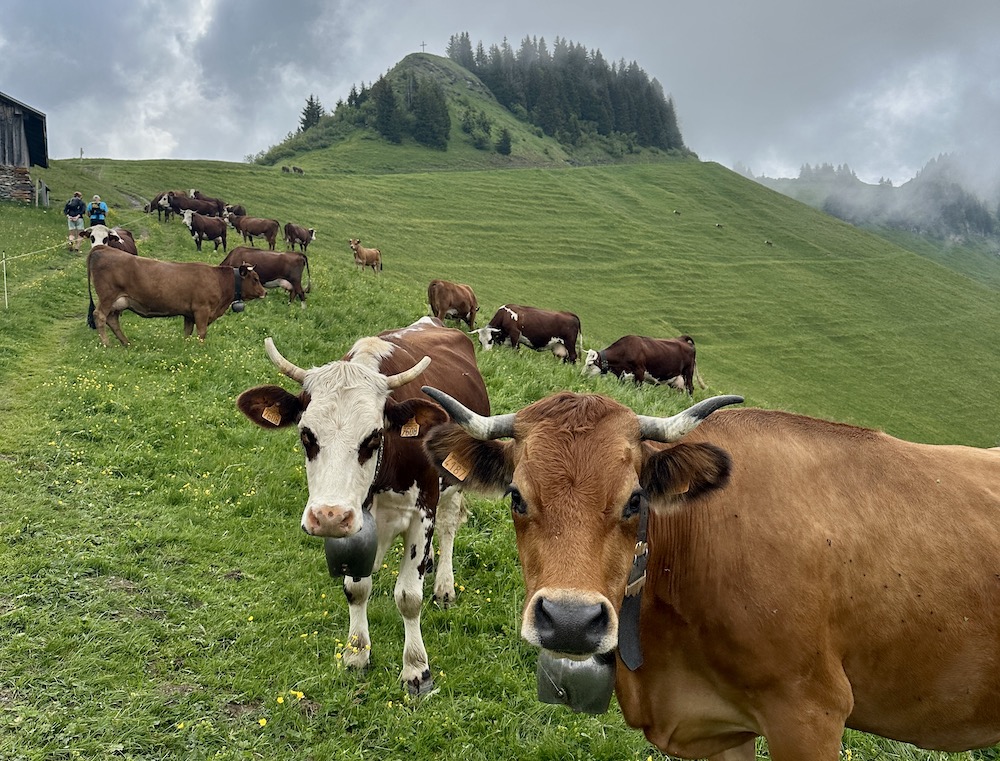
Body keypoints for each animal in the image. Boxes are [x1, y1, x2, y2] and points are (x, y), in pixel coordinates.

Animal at [86, 243, 266, 344]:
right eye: (255, 278)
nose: (264, 292)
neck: (219, 280)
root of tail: (103, 248)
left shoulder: (189, 314)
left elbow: (187, 332)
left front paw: (185, 347)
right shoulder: (202, 310)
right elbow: (201, 333)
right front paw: (200, 349)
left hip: (119, 302)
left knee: (112, 320)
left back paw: (126, 343)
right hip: (108, 297)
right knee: (100, 316)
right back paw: (107, 344)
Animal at [235, 314, 492, 696]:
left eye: (373, 437)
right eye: (306, 435)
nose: (328, 516)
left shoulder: (423, 512)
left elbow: (408, 596)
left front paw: (416, 668)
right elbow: (356, 590)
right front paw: (356, 653)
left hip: (455, 481)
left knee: (448, 528)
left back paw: (444, 585)